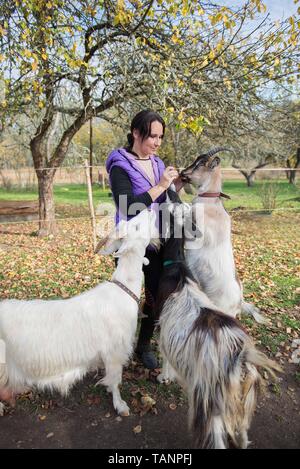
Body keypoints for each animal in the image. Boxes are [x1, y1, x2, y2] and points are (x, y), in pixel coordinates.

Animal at [0, 208, 157, 416]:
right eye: (137, 227)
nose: (148, 209)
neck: (123, 290)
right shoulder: (115, 351)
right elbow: (115, 380)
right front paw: (120, 405)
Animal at [157, 192, 282, 448]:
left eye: (173, 209)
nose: (169, 192)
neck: (178, 268)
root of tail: (241, 358)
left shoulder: (163, 328)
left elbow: (164, 358)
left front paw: (164, 377)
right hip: (241, 402)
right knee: (243, 433)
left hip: (211, 405)